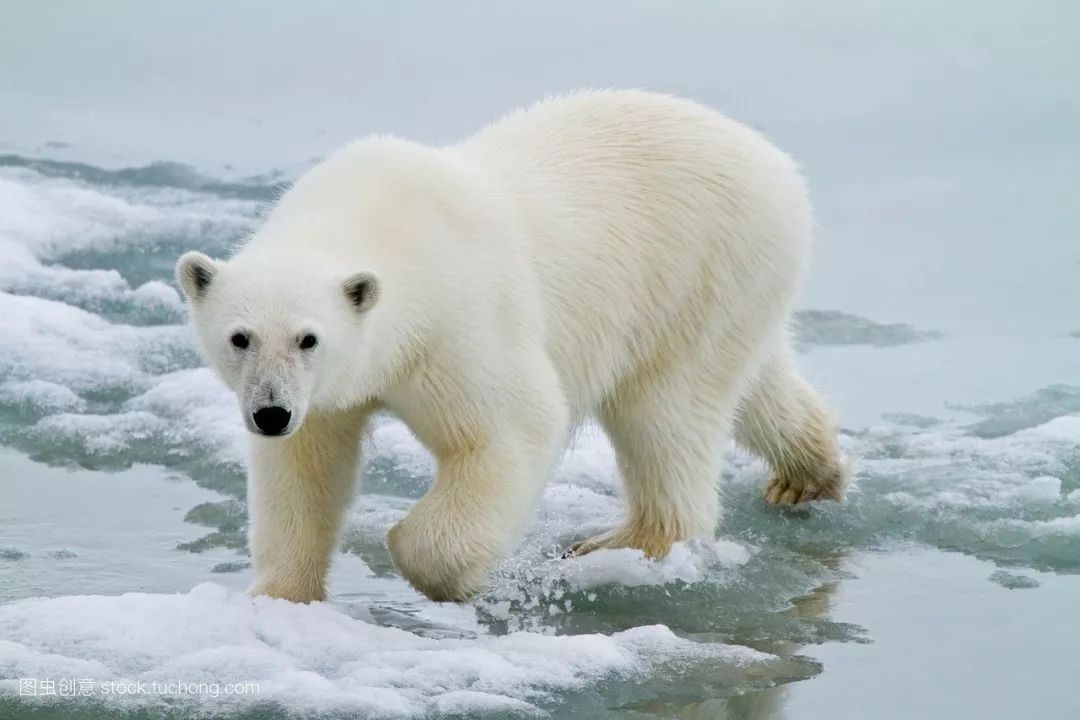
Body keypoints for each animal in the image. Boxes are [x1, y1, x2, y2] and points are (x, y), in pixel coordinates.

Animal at [177, 90, 846, 604]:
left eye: (308, 338)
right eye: (239, 337)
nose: (270, 413)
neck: (378, 223)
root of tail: (775, 161)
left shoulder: (453, 322)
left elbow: (512, 426)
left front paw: (434, 567)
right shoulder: (327, 395)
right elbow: (304, 468)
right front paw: (282, 597)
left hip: (700, 265)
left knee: (665, 410)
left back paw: (628, 542)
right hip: (729, 291)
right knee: (752, 380)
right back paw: (806, 474)